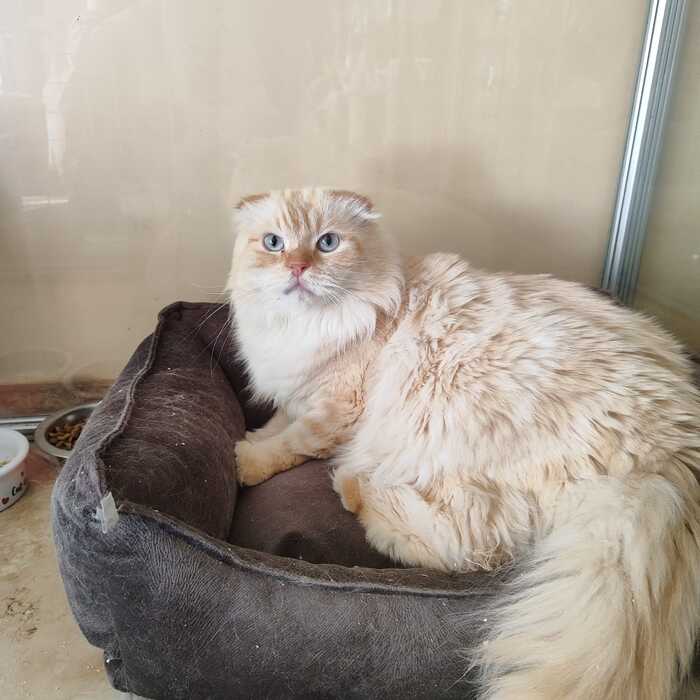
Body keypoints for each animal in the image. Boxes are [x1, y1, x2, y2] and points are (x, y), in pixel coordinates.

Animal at [227, 187, 700, 700]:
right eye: (273, 243)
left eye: (327, 243)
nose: (297, 267)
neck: (302, 327)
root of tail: (670, 452)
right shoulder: (297, 394)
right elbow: (280, 420)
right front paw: (251, 435)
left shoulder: (336, 408)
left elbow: (292, 443)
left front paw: (246, 461)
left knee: (472, 546)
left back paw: (355, 490)